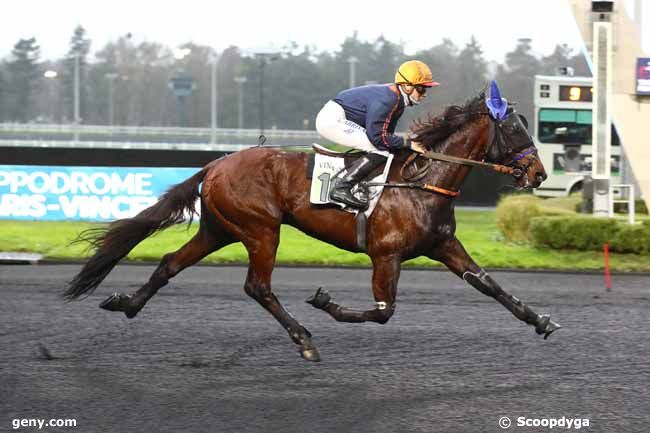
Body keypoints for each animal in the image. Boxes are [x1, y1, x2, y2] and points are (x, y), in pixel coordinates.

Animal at [64, 81, 556, 362]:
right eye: (514, 129)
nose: (538, 174)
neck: (422, 181)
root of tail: (217, 164)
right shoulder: (386, 254)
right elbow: (383, 312)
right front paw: (325, 301)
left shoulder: (443, 246)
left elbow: (489, 285)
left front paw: (539, 320)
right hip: (261, 230)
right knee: (257, 287)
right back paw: (304, 338)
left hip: (219, 229)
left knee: (169, 262)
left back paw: (126, 304)